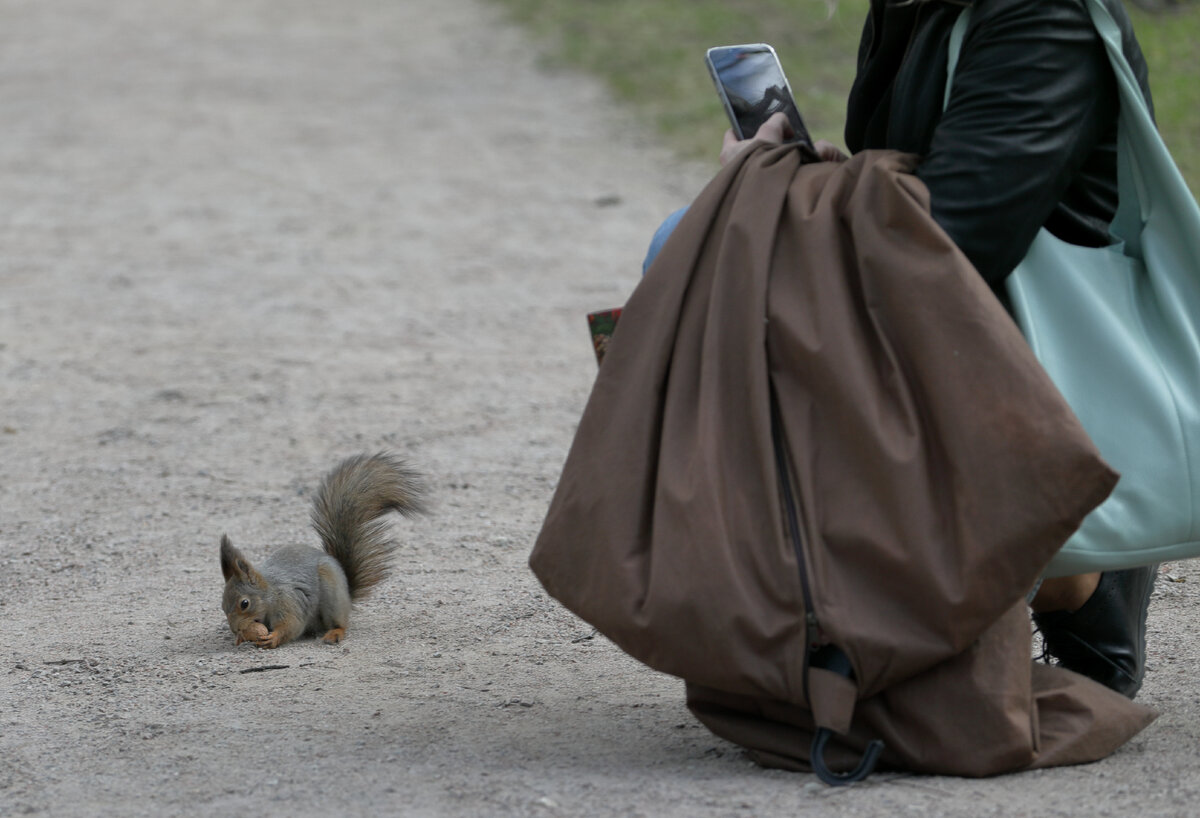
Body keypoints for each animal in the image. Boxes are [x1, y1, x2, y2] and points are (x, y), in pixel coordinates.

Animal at [220, 448, 427, 647]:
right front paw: (242, 638)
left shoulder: (289, 600)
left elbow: (292, 625)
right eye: (222, 605)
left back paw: (334, 633)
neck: (269, 593)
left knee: (339, 623)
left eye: (244, 603)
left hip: (332, 595)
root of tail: (347, 596)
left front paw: (273, 638)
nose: (235, 629)